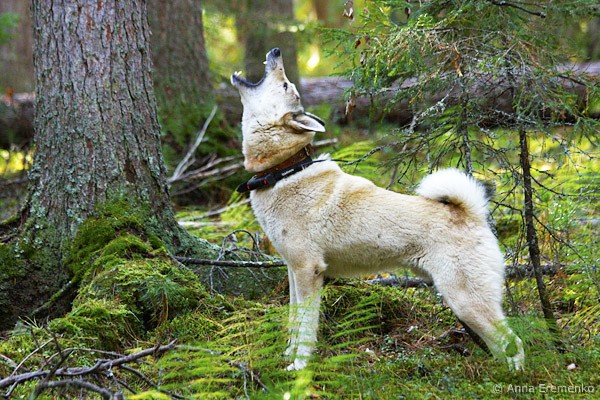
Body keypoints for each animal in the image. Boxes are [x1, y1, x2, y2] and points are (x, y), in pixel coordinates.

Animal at [231, 47, 524, 371]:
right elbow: (294, 321)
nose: (276, 51)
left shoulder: (308, 270)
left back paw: (514, 376)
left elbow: (306, 326)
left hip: (465, 300)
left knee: (514, 342)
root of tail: (469, 213)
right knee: (501, 343)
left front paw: (299, 368)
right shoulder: (294, 272)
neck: (284, 170)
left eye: (285, 86)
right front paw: (288, 359)